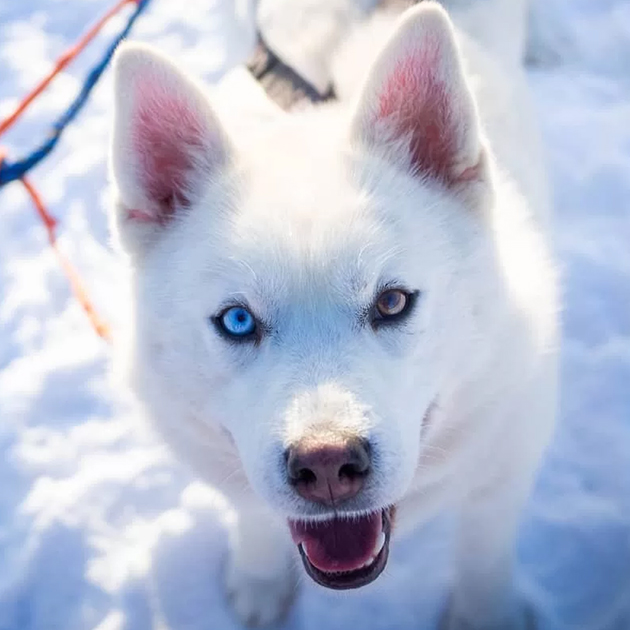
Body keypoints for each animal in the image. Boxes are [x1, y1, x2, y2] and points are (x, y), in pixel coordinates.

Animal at [108, 2, 556, 628]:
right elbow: (255, 517)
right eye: (237, 321)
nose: (325, 466)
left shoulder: (503, 471)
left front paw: (484, 616)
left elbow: (482, 556)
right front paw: (260, 580)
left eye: (392, 302)